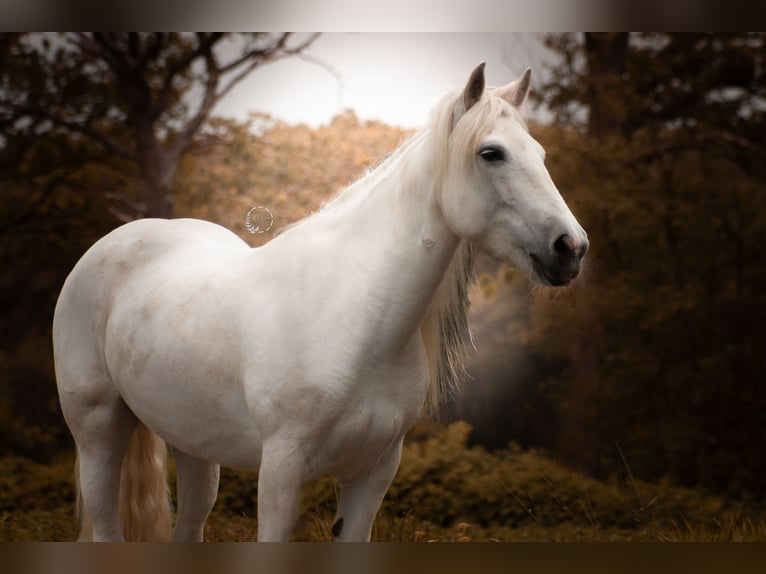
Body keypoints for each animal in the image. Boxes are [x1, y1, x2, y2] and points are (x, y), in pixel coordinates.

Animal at [52, 64, 588, 544]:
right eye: (490, 153)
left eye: (540, 153)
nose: (571, 248)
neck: (356, 320)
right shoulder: (281, 471)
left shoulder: (373, 474)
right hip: (99, 432)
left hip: (194, 447)